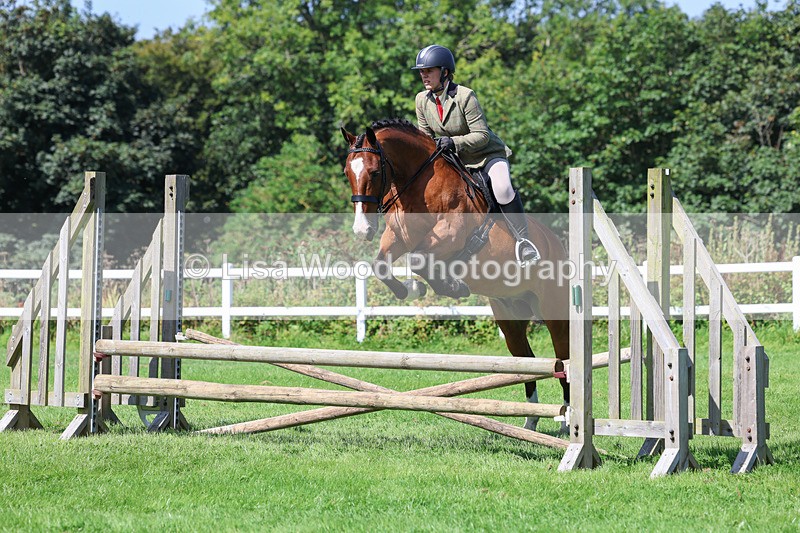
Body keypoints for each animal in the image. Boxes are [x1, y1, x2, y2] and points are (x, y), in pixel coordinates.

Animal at [341, 119, 570, 432]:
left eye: (375, 172)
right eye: (347, 172)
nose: (362, 229)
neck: (419, 185)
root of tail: (555, 243)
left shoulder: (451, 233)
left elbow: (419, 260)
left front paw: (450, 286)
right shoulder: (397, 237)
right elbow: (383, 265)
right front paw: (412, 290)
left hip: (554, 309)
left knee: (564, 357)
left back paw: (567, 421)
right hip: (510, 316)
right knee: (527, 361)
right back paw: (531, 421)